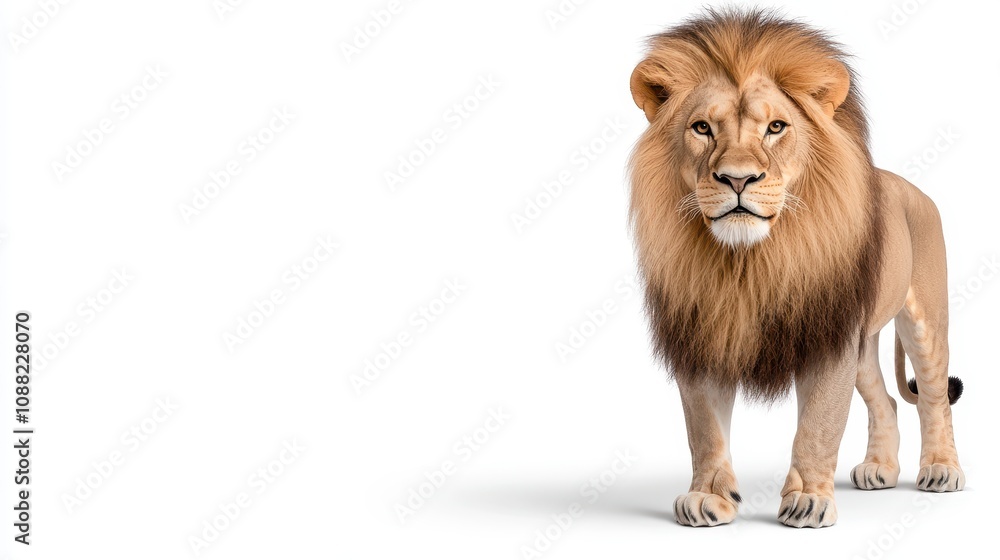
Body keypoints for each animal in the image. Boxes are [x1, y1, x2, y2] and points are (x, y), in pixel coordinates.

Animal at [627, 8, 965, 528]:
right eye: (702, 128)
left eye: (776, 127)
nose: (738, 179)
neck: (747, 263)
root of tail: (911, 187)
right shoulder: (702, 332)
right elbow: (704, 429)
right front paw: (708, 497)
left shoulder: (827, 339)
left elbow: (818, 426)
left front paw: (808, 500)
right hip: (862, 343)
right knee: (886, 400)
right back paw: (879, 469)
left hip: (924, 319)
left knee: (933, 397)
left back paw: (943, 470)